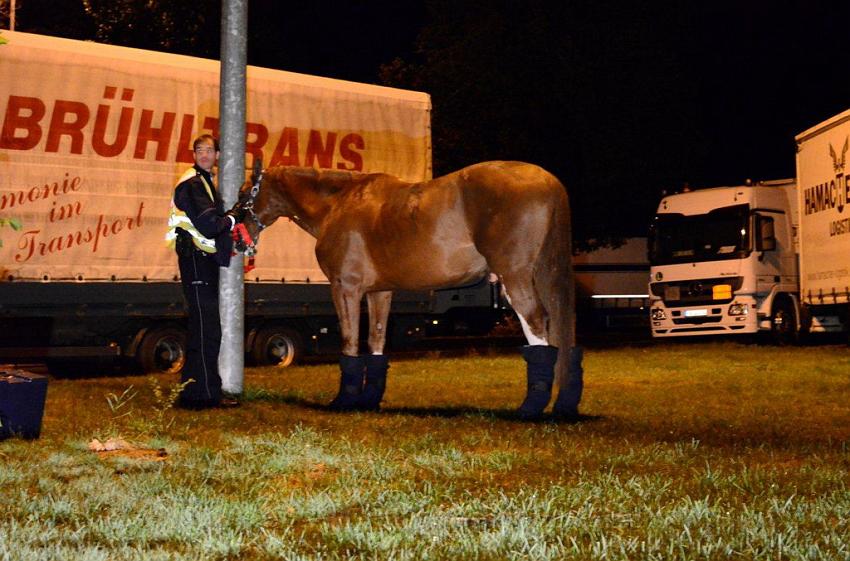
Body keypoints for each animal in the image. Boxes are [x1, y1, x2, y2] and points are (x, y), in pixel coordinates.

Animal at [238, 160, 584, 418]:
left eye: (245, 194)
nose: (235, 229)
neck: (339, 203)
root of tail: (548, 180)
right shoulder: (380, 292)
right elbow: (376, 341)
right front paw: (369, 400)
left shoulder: (345, 287)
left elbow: (350, 341)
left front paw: (344, 401)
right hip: (543, 274)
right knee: (561, 329)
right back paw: (563, 404)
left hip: (515, 276)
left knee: (537, 323)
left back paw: (531, 407)